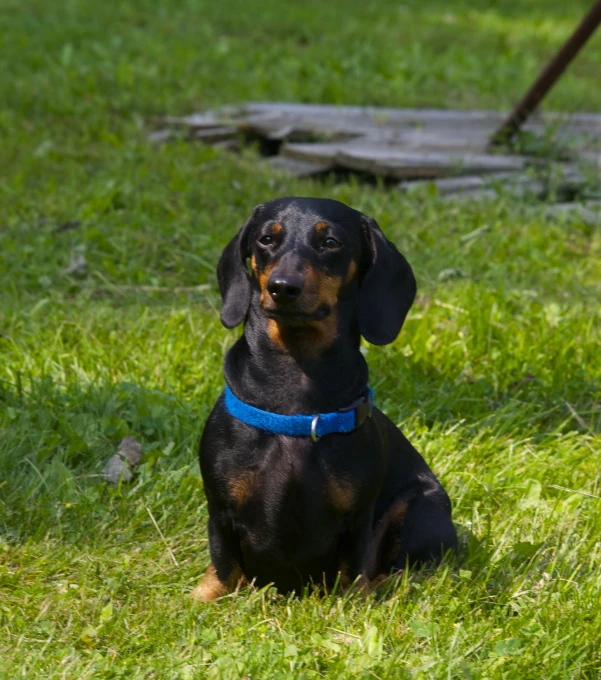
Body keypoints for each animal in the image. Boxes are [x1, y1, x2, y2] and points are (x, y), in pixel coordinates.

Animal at [192, 197, 454, 600]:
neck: (295, 383)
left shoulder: (358, 518)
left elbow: (354, 570)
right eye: (266, 239)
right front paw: (207, 597)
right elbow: (224, 565)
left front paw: (356, 600)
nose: (283, 288)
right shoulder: (220, 509)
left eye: (330, 242)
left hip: (423, 507)